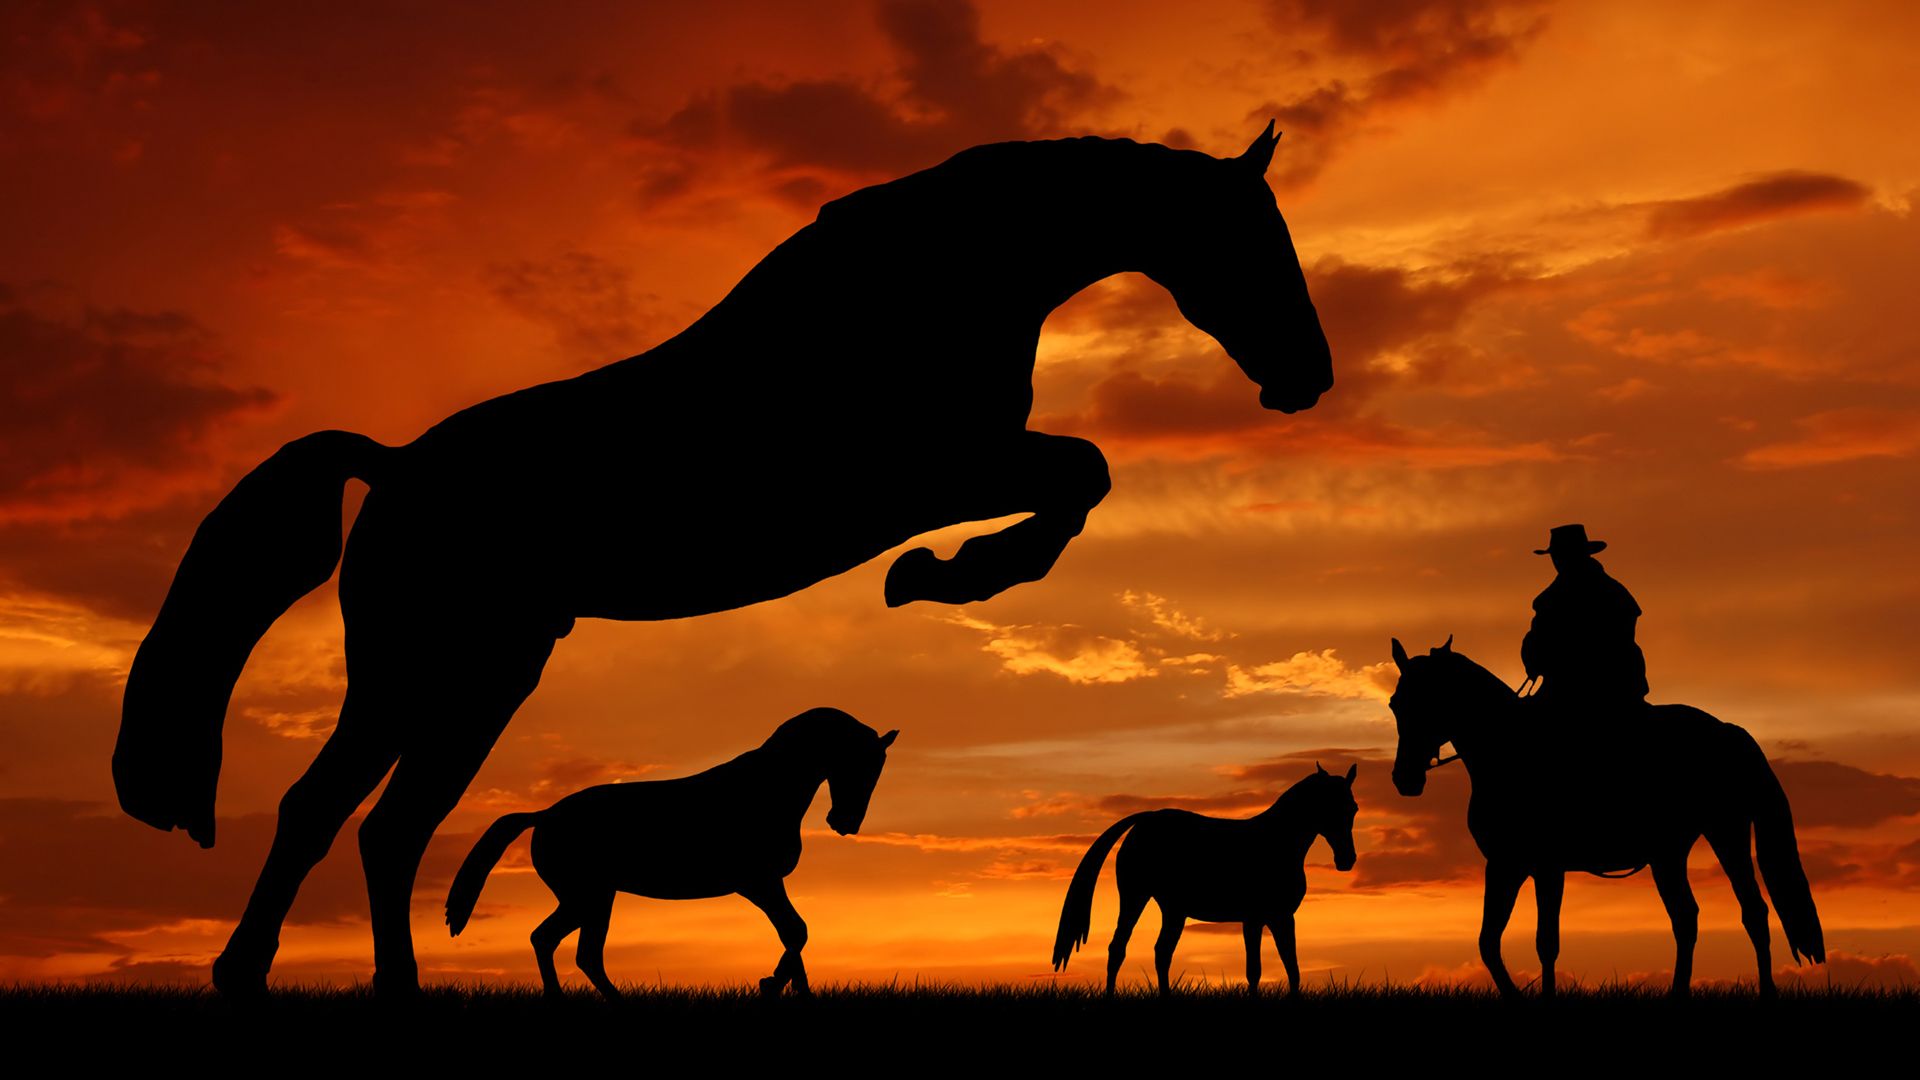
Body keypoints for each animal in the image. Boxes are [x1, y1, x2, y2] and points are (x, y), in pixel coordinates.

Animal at [444, 707, 894, 998]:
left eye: (877, 770)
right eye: (857, 763)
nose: (846, 823)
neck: (766, 790)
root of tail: (546, 814)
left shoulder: (768, 884)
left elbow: (792, 934)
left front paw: (793, 992)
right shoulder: (758, 883)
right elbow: (796, 931)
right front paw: (771, 986)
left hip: (591, 899)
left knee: (562, 946)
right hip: (587, 898)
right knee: (567, 947)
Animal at [1051, 764, 1358, 995]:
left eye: (1353, 808)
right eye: (1329, 806)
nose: (1346, 860)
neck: (1277, 842)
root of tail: (1145, 820)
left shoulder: (1280, 917)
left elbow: (1291, 967)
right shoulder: (1255, 918)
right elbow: (1255, 970)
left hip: (1173, 910)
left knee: (1161, 952)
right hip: (1135, 898)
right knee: (1119, 949)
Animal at [1386, 637, 1825, 997]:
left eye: (1428, 699)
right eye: (1395, 704)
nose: (1405, 778)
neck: (1506, 749)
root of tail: (1729, 731)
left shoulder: (1545, 866)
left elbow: (1544, 941)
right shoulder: (1506, 864)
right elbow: (1489, 941)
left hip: (1726, 832)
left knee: (1752, 911)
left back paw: (1765, 994)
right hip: (1670, 853)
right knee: (1688, 917)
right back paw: (1679, 995)